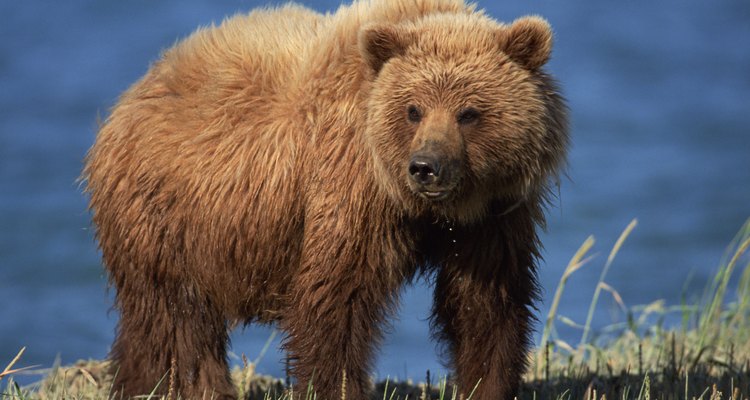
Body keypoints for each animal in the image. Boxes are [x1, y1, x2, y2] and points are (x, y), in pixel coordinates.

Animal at [83, 0, 568, 398]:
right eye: (413, 109)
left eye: (469, 112)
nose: (425, 166)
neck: (426, 209)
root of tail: (131, 95)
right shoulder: (350, 188)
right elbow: (336, 300)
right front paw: (335, 385)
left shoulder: (494, 213)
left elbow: (485, 303)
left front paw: (487, 383)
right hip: (168, 217)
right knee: (178, 322)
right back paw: (191, 388)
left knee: (150, 327)